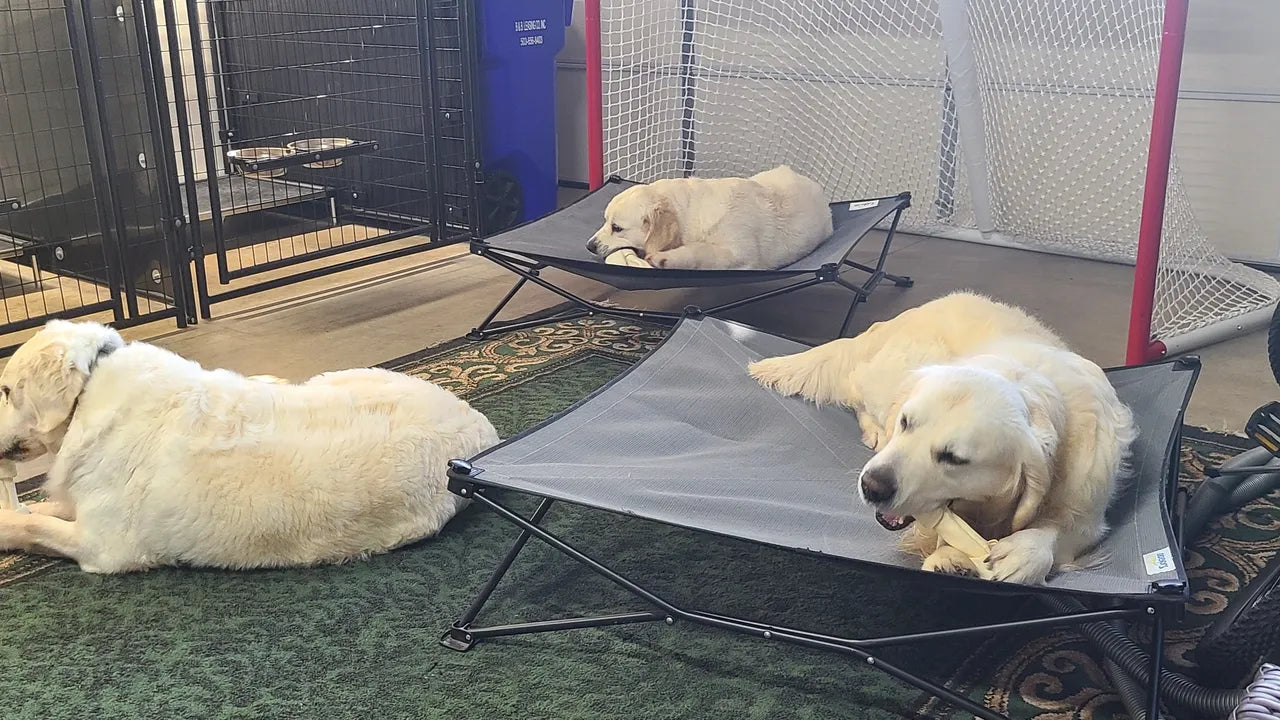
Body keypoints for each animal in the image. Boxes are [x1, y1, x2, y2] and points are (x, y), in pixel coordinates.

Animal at [0, 319, 499, 571]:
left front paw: (12, 524)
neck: (90, 391)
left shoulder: (103, 547)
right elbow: (43, 510)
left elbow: (33, 526)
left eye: (5, 390)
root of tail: (483, 428)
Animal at [586, 162, 834, 269]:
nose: (589, 246)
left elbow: (701, 250)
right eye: (605, 221)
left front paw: (666, 258)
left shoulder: (740, 253)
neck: (693, 211)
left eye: (617, 228)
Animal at [747, 292, 1136, 584]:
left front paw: (1024, 553)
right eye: (906, 423)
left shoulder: (1087, 509)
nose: (872, 486)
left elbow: (1059, 530)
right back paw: (874, 430)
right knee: (857, 389)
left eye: (953, 458)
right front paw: (950, 557)